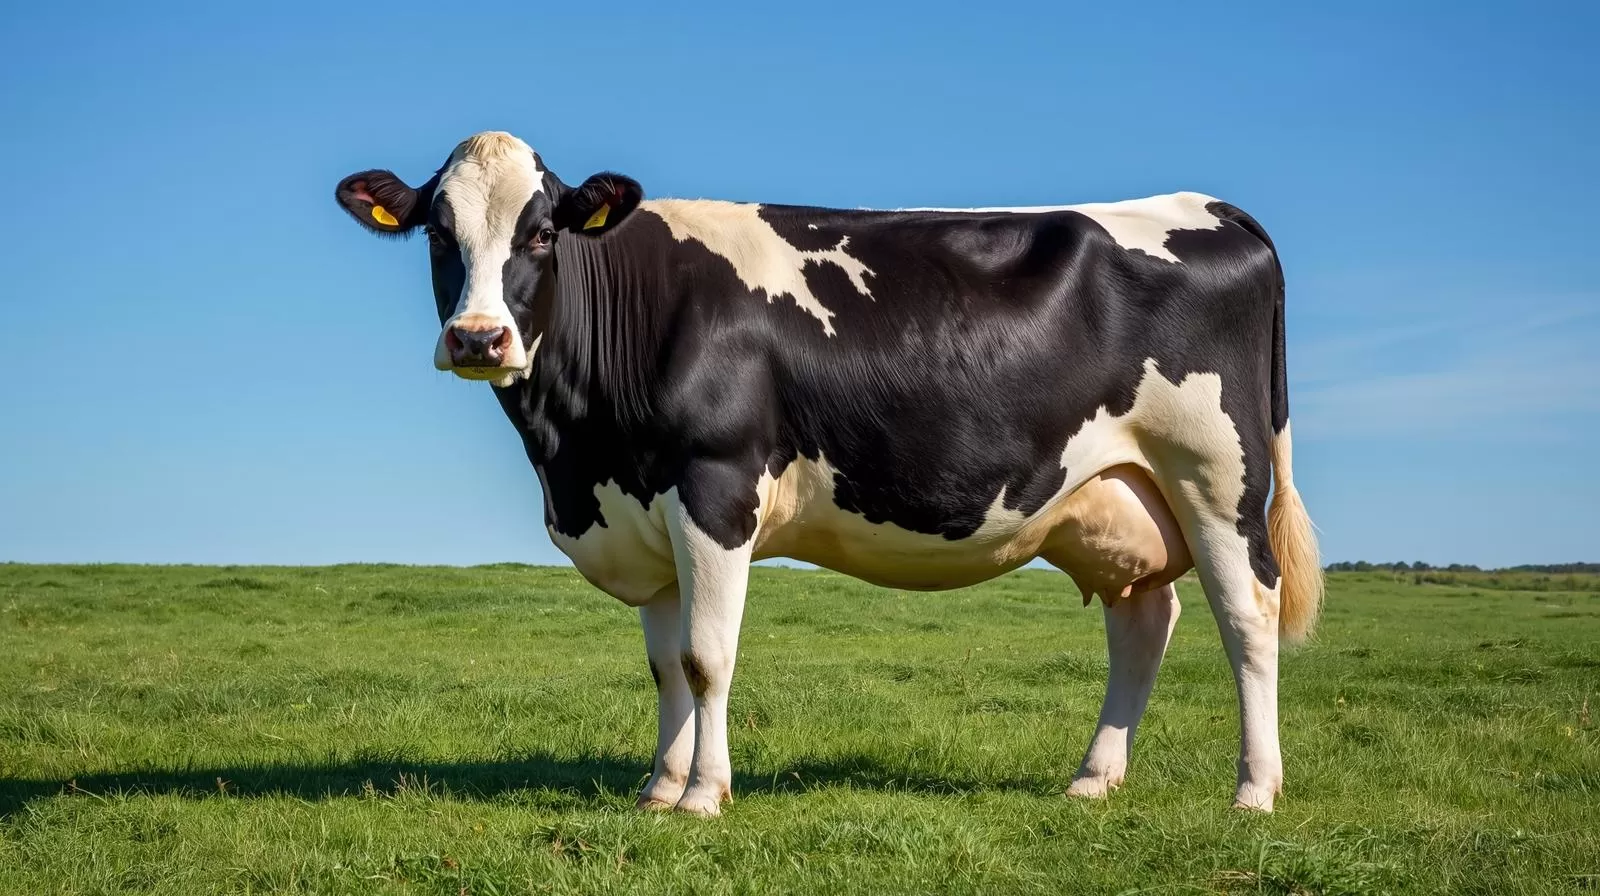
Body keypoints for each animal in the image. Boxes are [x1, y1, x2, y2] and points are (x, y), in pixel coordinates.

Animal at [333, 131, 1323, 815]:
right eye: (438, 233)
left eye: (542, 234)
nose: (478, 339)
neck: (577, 454)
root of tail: (1207, 205)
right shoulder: (644, 513)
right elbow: (662, 665)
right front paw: (658, 789)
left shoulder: (714, 488)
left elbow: (706, 657)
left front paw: (703, 796)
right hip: (1118, 497)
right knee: (1143, 622)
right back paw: (1093, 779)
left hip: (1217, 474)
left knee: (1247, 616)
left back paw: (1255, 790)